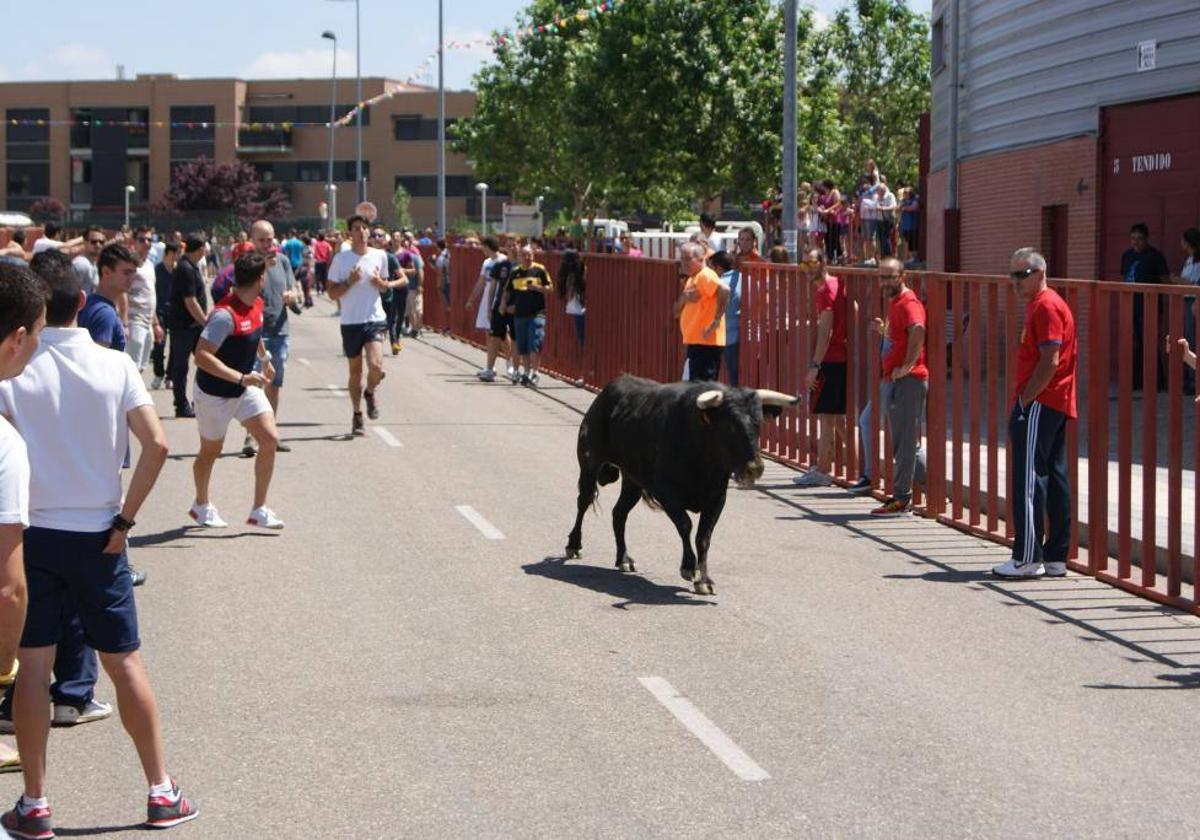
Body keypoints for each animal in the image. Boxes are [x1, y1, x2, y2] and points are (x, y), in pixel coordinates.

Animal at [564, 376, 796, 592]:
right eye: (730, 425)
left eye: (758, 424)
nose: (754, 467)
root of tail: (609, 390)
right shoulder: (666, 492)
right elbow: (685, 525)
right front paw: (688, 567)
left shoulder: (717, 498)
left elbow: (704, 537)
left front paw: (704, 580)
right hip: (589, 466)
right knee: (583, 502)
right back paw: (574, 546)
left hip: (633, 481)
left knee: (619, 513)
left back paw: (623, 558)